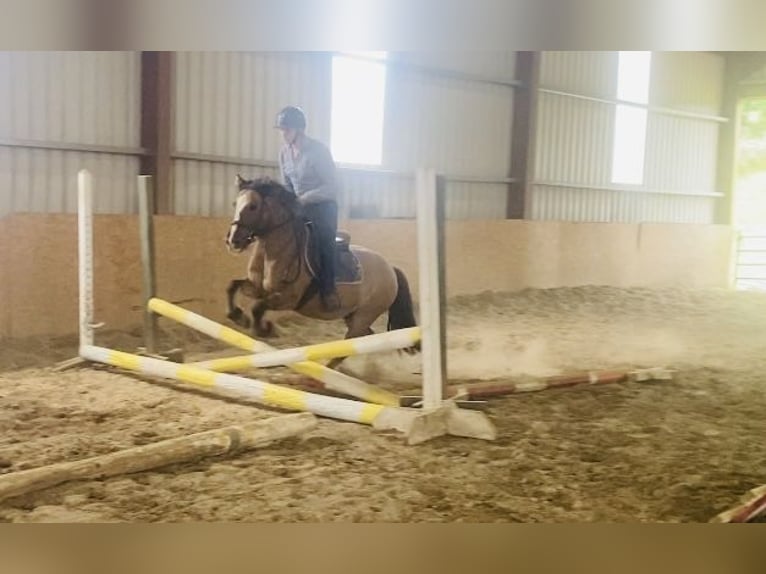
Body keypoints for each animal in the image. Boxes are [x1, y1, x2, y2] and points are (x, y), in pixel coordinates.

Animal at [225, 176, 420, 372]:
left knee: (351, 343)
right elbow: (233, 286)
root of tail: (390, 269)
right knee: (365, 339)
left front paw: (265, 329)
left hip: (365, 315)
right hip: (352, 315)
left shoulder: (288, 299)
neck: (276, 253)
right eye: (234, 204)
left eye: (253, 206)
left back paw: (329, 370)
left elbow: (257, 307)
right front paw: (238, 317)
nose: (233, 241)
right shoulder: (258, 289)